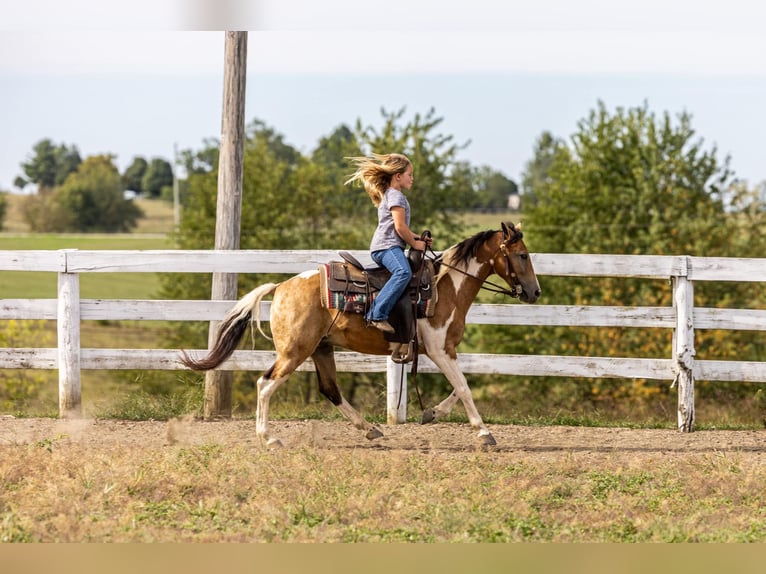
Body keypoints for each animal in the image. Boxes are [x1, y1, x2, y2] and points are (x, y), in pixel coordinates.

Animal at [180, 222, 541, 447]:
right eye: (522, 255)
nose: (535, 292)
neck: (446, 287)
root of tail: (281, 286)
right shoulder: (440, 350)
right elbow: (464, 387)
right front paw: (484, 434)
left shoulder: (445, 349)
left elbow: (458, 387)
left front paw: (432, 413)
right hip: (295, 352)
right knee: (265, 384)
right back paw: (269, 438)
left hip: (321, 349)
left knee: (330, 389)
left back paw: (370, 429)